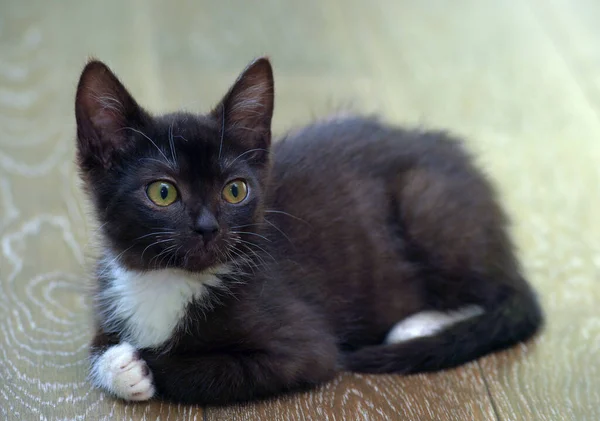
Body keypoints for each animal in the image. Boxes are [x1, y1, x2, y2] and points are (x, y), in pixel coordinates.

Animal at [75, 56, 544, 404]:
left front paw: (142, 365)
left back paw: (419, 326)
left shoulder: (303, 348)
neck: (169, 281)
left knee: (507, 297)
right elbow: (96, 347)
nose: (208, 227)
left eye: (235, 190)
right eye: (163, 192)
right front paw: (118, 365)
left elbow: (205, 369)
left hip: (426, 203)